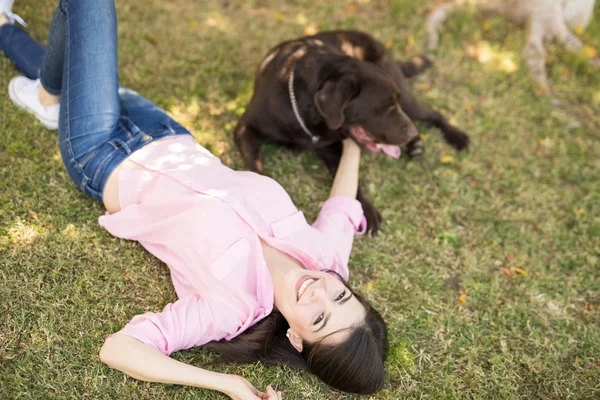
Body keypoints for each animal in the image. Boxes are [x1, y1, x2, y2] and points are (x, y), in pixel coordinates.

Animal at [233, 30, 468, 234]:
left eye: (393, 103)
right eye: (386, 106)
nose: (411, 133)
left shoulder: (332, 148)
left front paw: (366, 210)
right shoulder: (246, 127)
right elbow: (254, 165)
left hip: (408, 100)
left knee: (433, 113)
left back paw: (454, 138)